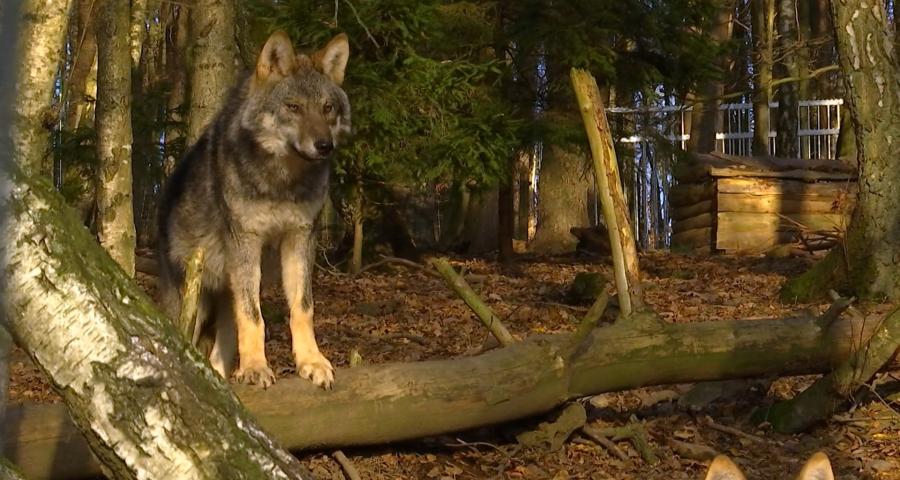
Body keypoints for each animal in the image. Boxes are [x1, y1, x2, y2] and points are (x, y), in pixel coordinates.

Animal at [157, 31, 350, 389]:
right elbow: (254, 318)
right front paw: (256, 368)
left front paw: (312, 362)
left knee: (219, 354)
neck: (282, 183)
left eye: (327, 108)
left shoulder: (301, 238)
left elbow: (302, 308)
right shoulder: (245, 241)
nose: (324, 146)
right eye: (293, 107)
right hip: (194, 301)